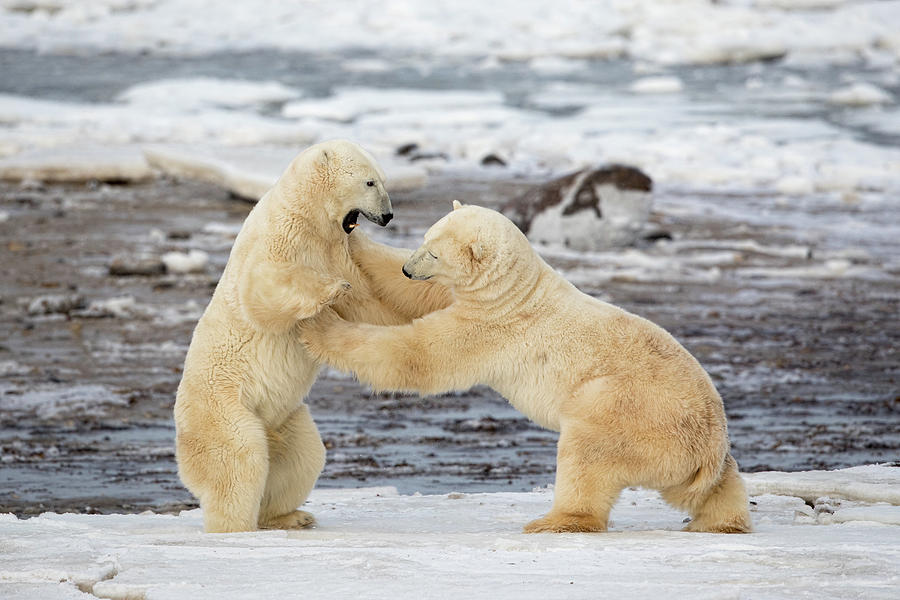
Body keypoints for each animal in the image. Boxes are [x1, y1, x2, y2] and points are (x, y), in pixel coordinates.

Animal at [172, 142, 450, 536]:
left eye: (383, 179)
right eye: (370, 182)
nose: (388, 215)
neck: (311, 219)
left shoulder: (345, 248)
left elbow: (380, 296)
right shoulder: (279, 238)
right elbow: (263, 290)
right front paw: (332, 289)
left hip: (286, 418)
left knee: (302, 457)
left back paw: (291, 516)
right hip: (223, 408)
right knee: (238, 460)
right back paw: (236, 527)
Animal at [302, 202, 752, 536]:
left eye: (433, 251)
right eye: (424, 239)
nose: (409, 267)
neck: (516, 291)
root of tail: (707, 445)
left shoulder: (492, 328)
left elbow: (418, 355)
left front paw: (319, 325)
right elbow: (414, 296)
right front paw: (356, 238)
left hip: (628, 411)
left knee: (586, 453)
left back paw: (553, 521)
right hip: (691, 449)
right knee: (713, 486)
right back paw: (720, 522)